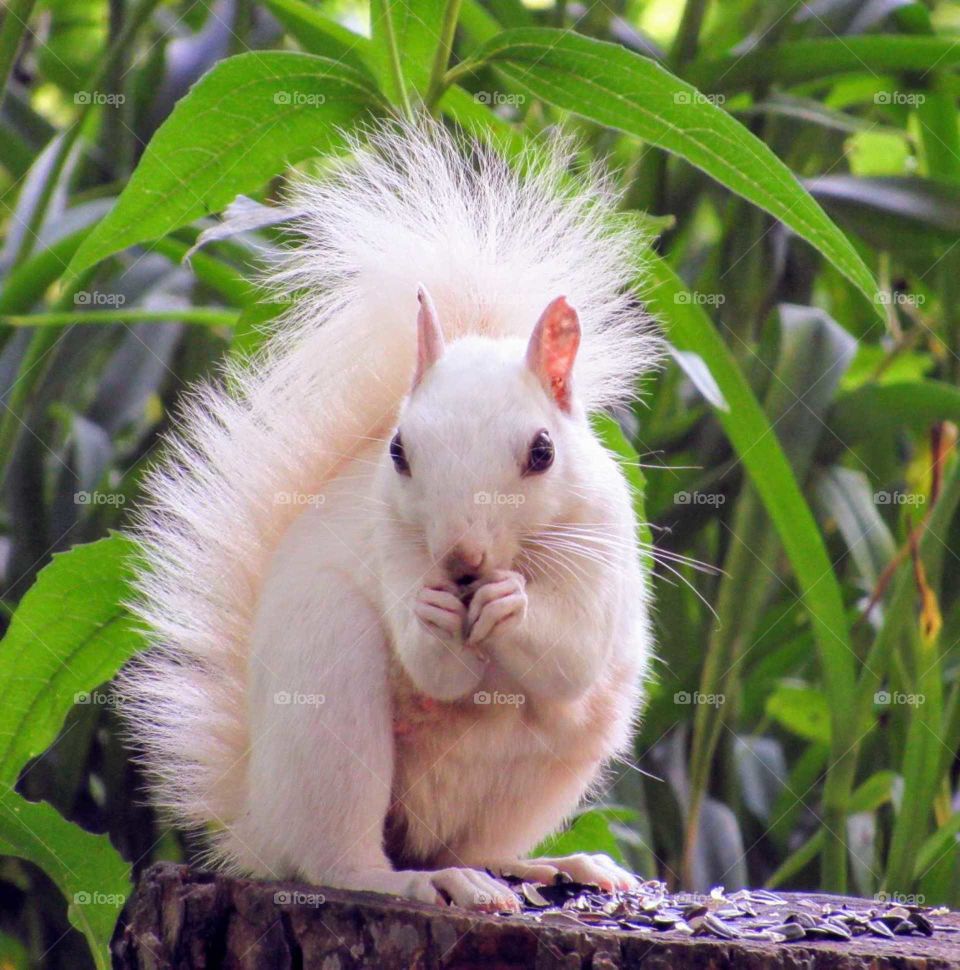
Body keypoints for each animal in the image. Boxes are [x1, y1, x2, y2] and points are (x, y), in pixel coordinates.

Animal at [119, 121, 657, 912]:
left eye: (542, 452)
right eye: (400, 451)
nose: (461, 562)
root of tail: (259, 826)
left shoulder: (602, 544)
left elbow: (572, 657)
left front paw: (514, 604)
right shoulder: (394, 543)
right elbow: (436, 669)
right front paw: (432, 617)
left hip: (547, 768)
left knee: (477, 843)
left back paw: (551, 866)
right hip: (332, 696)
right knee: (341, 863)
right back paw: (425, 882)